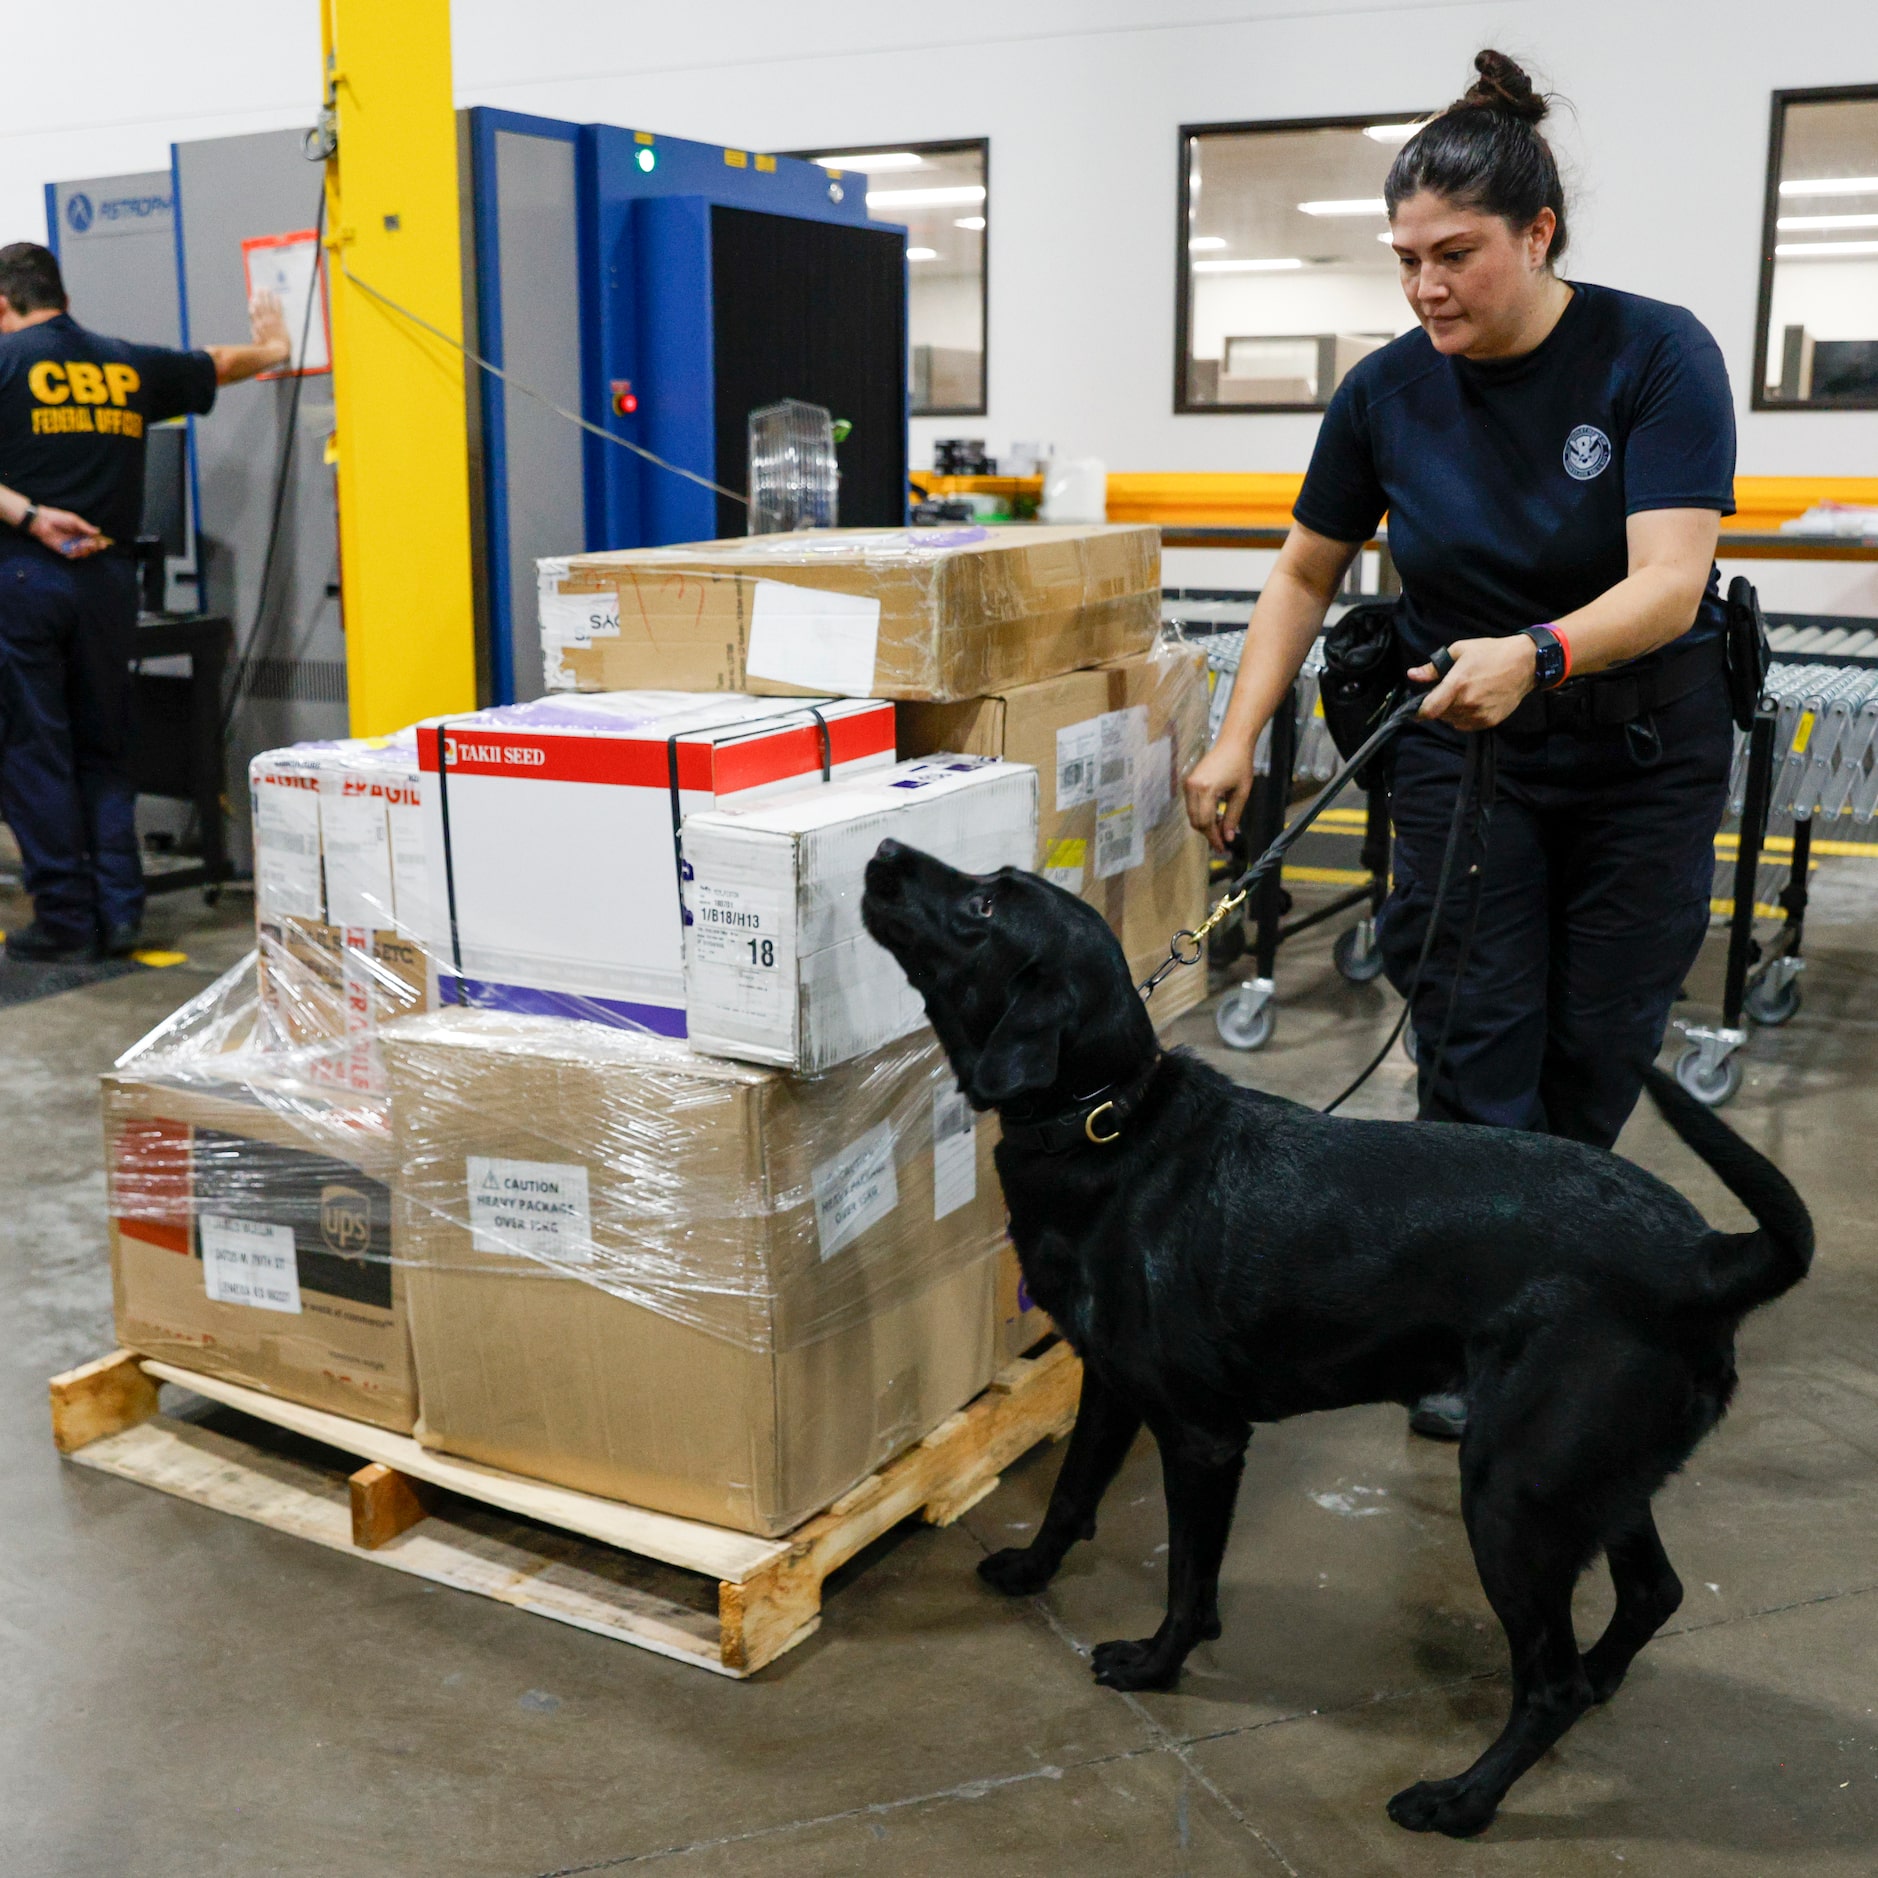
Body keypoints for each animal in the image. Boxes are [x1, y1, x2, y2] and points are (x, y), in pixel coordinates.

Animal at [860, 841, 1802, 1832]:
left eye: (983, 905)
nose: (883, 852)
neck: (1108, 1121)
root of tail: (1705, 1258)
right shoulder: (1111, 1384)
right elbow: (1072, 1494)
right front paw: (1032, 1572)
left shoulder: (1203, 1439)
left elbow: (1188, 1578)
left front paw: (1156, 1665)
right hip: (1587, 1481)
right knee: (1651, 1595)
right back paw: (1601, 1681)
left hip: (1513, 1494)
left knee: (1552, 1684)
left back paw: (1461, 1800)